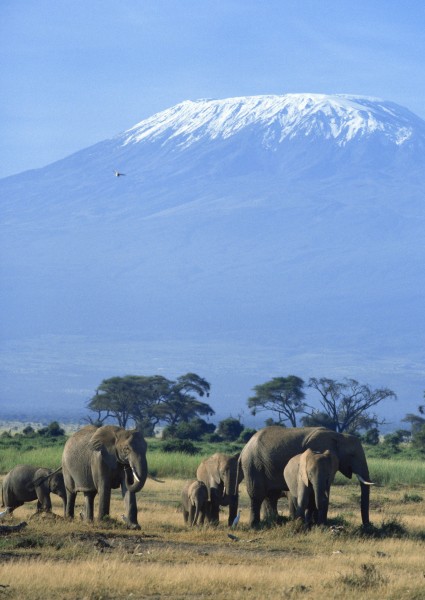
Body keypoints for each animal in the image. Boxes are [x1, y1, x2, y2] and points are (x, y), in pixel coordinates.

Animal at [240, 424, 372, 528]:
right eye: (352, 455)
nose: (367, 526)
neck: (338, 436)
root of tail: (245, 448)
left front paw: (318, 523)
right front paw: (317, 523)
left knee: (269, 496)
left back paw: (272, 522)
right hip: (253, 465)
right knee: (257, 495)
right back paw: (255, 525)